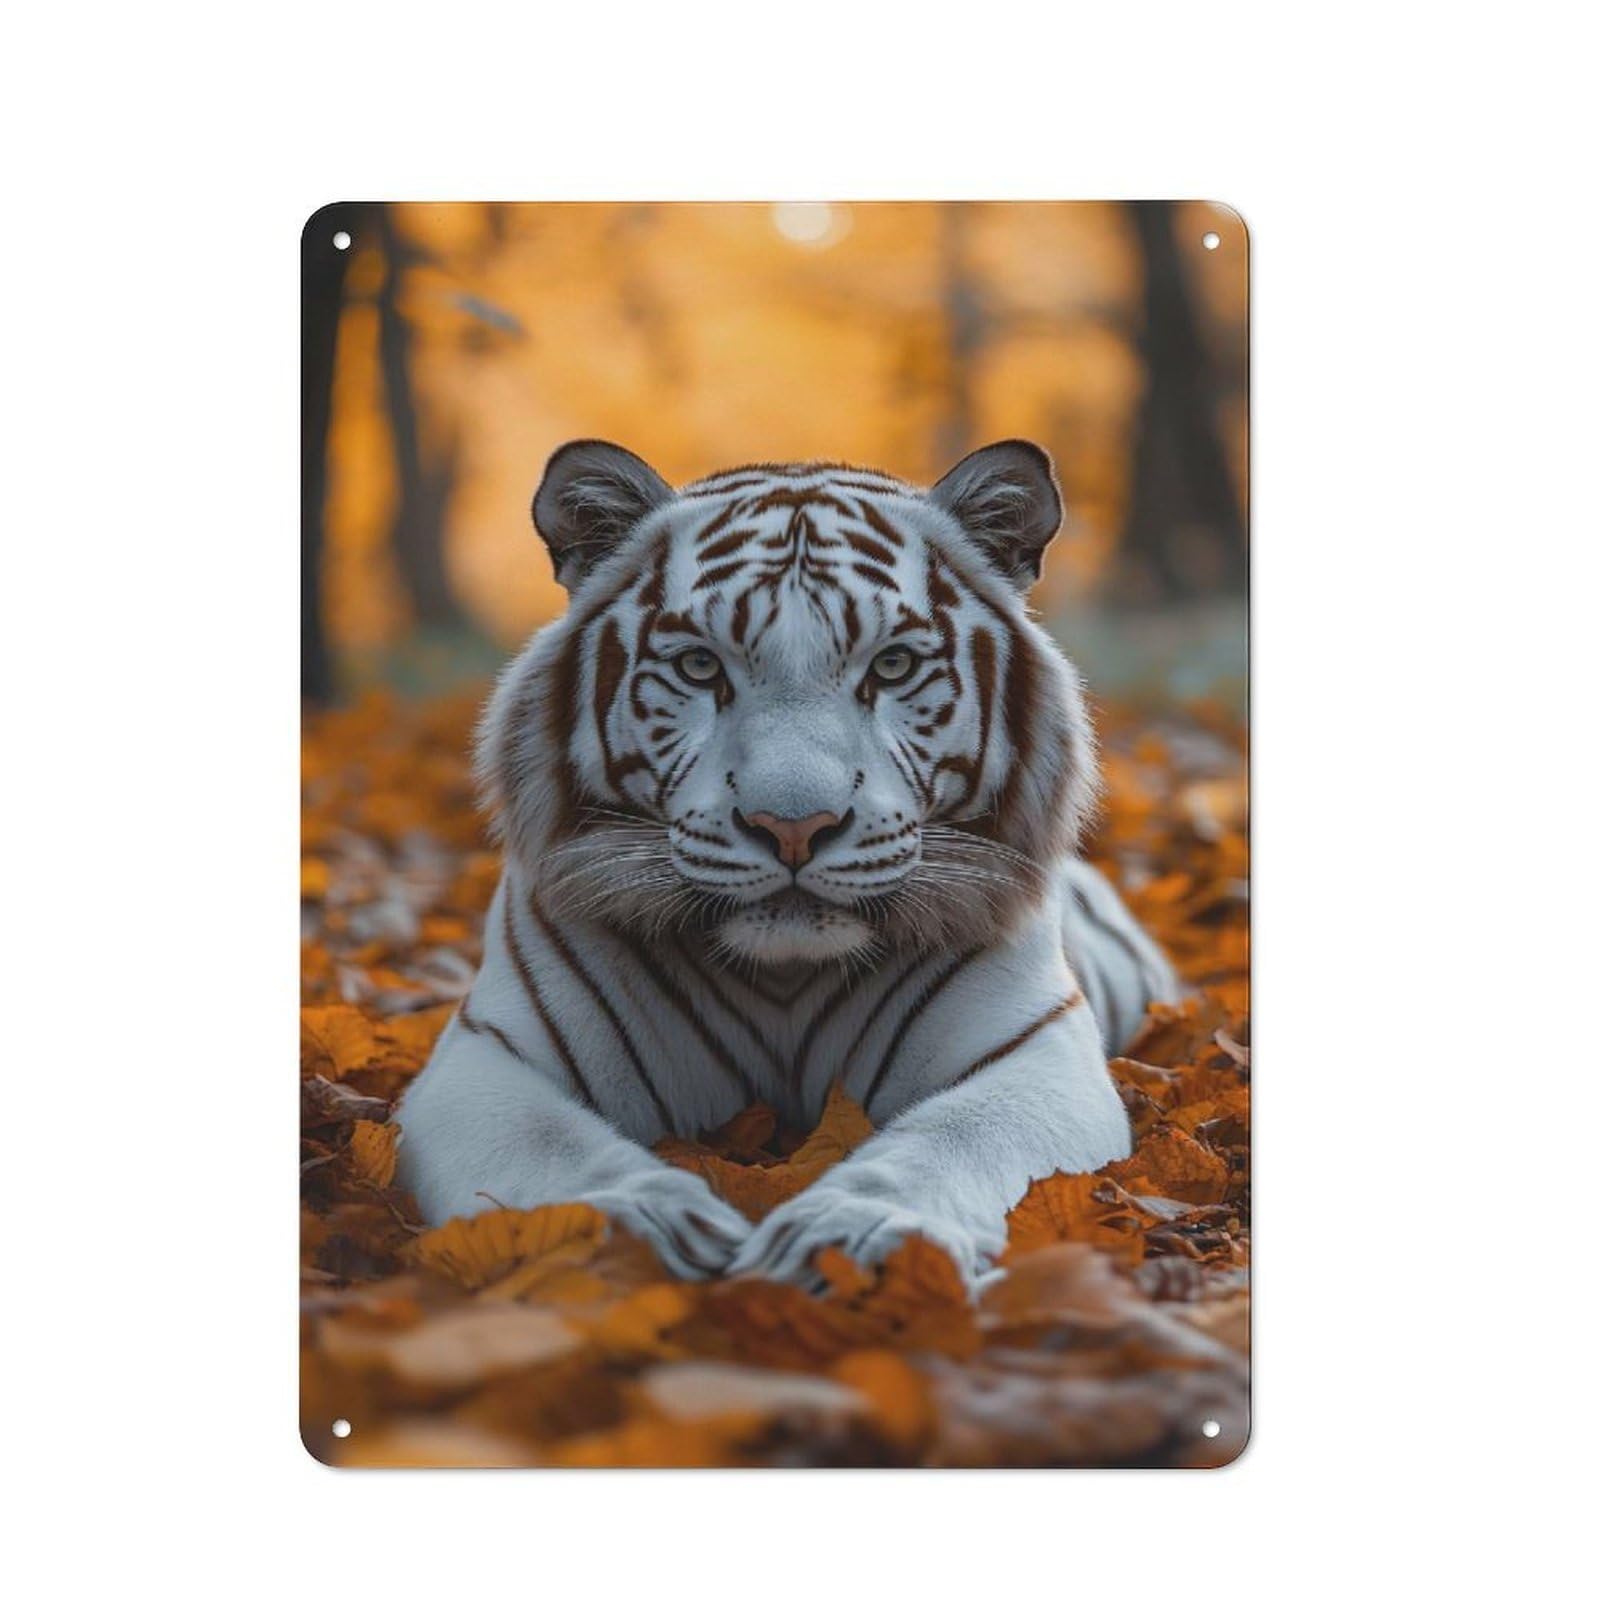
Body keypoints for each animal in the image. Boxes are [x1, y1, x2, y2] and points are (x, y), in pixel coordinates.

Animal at [396, 438, 1177, 1289]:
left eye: (893, 667)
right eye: (700, 668)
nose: (794, 827)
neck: (784, 984)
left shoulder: (1034, 1050)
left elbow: (951, 1142)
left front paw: (853, 1235)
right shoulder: (484, 1057)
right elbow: (555, 1151)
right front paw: (648, 1229)